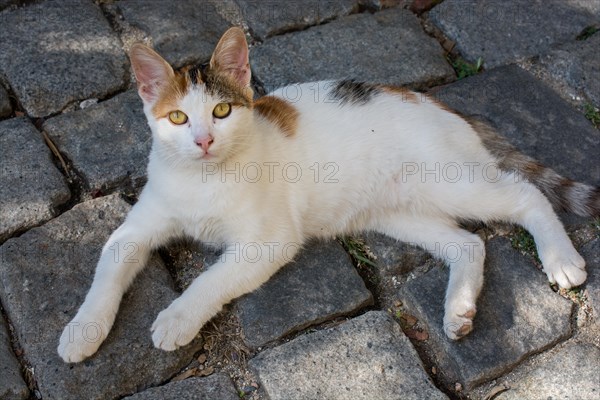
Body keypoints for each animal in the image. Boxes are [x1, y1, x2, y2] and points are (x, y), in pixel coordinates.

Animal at [55, 26, 596, 360]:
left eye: (223, 112)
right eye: (177, 118)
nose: (204, 141)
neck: (203, 181)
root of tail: (437, 102)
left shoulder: (268, 242)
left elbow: (210, 280)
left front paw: (176, 318)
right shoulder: (139, 227)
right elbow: (108, 267)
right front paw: (83, 331)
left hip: (451, 181)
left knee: (525, 194)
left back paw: (560, 259)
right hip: (396, 212)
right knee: (469, 243)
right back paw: (459, 310)